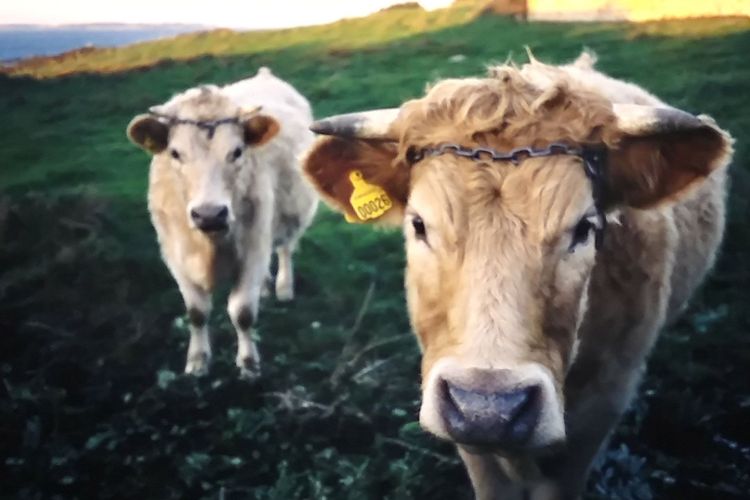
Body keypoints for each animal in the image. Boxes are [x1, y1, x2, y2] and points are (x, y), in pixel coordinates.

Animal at [126, 67, 317, 379]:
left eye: (237, 151)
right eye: (175, 153)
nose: (209, 214)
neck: (210, 247)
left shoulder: (252, 247)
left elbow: (242, 312)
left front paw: (249, 363)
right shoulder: (176, 256)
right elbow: (196, 312)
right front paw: (197, 360)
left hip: (288, 214)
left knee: (285, 248)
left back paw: (283, 288)